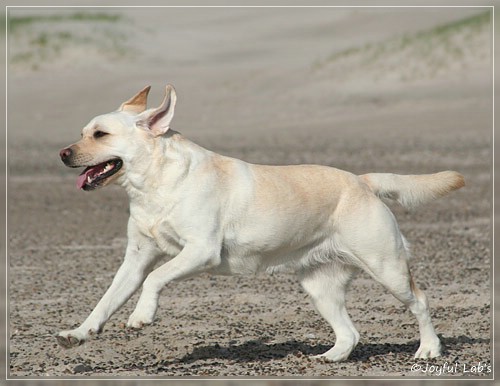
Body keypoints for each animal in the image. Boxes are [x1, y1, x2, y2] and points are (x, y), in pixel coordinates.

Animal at [56, 84, 462, 362]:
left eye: (101, 134)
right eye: (83, 132)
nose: (62, 153)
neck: (155, 184)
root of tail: (363, 181)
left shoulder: (200, 251)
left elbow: (155, 279)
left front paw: (141, 316)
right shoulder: (136, 258)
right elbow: (106, 300)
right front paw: (79, 333)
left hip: (386, 267)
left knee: (420, 301)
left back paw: (429, 349)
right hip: (320, 287)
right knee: (349, 333)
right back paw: (330, 357)